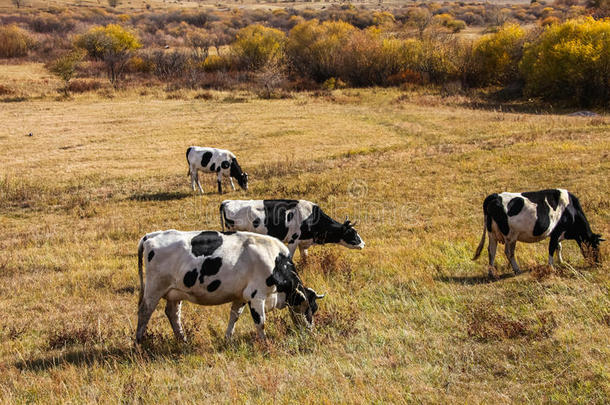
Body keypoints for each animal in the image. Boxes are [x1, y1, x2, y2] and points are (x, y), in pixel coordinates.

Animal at [133, 229, 324, 342]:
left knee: (173, 313)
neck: (274, 260)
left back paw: (183, 340)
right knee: (144, 312)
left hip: (175, 292)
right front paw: (265, 343)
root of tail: (152, 235)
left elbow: (234, 316)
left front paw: (228, 338)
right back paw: (139, 343)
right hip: (154, 288)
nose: (311, 332)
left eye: (314, 309)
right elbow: (260, 322)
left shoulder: (241, 296)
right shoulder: (256, 296)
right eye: (308, 309)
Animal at [217, 198, 360, 258]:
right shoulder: (293, 240)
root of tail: (227, 201)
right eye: (352, 233)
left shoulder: (303, 242)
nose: (362, 244)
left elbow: (305, 258)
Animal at [472, 187, 600, 276]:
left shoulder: (556, 234)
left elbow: (559, 247)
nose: (597, 263)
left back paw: (492, 273)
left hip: (492, 234)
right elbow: (551, 249)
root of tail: (494, 196)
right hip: (510, 236)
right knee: (508, 252)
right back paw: (517, 270)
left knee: (492, 251)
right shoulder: (556, 232)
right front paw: (551, 267)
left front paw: (561, 261)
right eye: (595, 246)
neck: (571, 210)